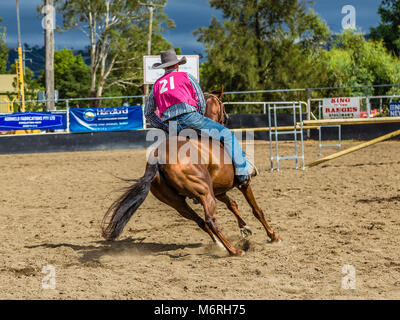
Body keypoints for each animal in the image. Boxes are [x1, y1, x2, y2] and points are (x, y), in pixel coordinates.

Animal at [101, 90, 280, 255]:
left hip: (177, 203)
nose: (227, 117)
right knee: (210, 220)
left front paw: (244, 228)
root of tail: (159, 158)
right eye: (221, 104)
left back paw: (220, 245)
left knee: (200, 222)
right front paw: (273, 236)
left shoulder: (219, 191)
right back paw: (233, 250)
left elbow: (232, 204)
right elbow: (256, 210)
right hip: (205, 193)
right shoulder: (241, 185)